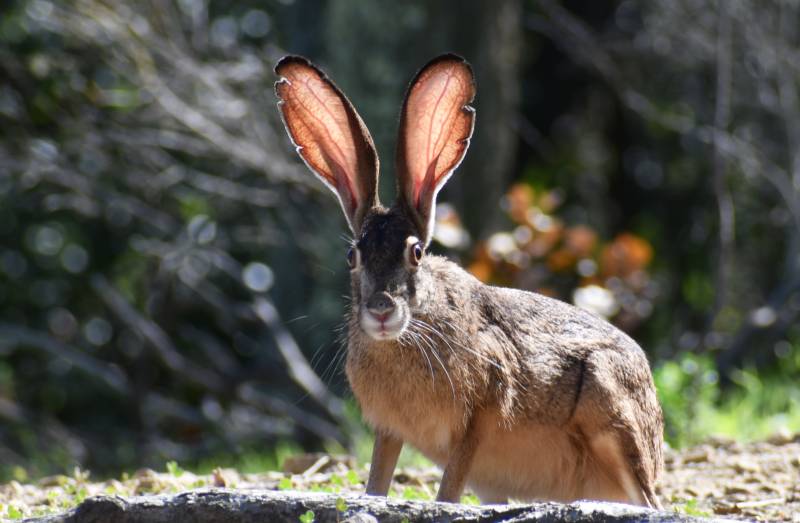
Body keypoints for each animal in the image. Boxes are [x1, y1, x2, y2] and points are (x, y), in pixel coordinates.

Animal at [274, 53, 663, 508]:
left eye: (416, 253)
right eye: (352, 257)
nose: (381, 311)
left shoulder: (481, 412)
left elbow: (449, 487)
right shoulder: (389, 430)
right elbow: (378, 481)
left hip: (612, 411)